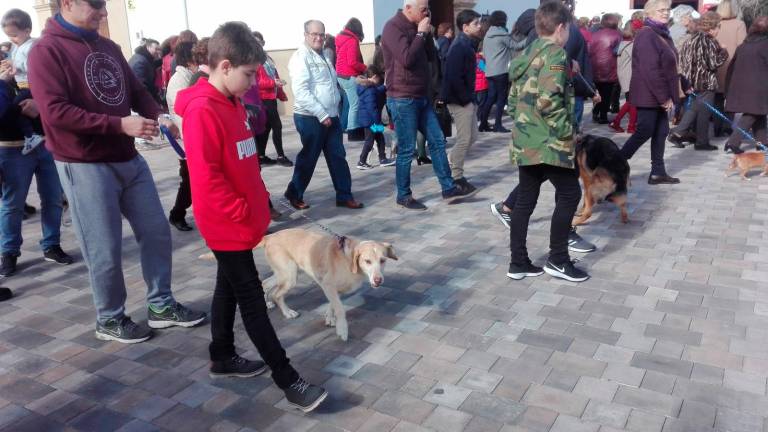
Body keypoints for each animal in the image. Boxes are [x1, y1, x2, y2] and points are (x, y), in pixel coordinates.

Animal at [258, 228, 400, 340]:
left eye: (382, 260)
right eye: (367, 261)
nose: (378, 280)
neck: (348, 260)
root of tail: (270, 236)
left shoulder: (336, 290)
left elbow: (332, 304)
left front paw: (329, 318)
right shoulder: (328, 285)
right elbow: (340, 309)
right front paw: (342, 329)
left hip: (283, 273)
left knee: (264, 283)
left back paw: (266, 303)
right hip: (290, 276)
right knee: (277, 294)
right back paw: (288, 312)